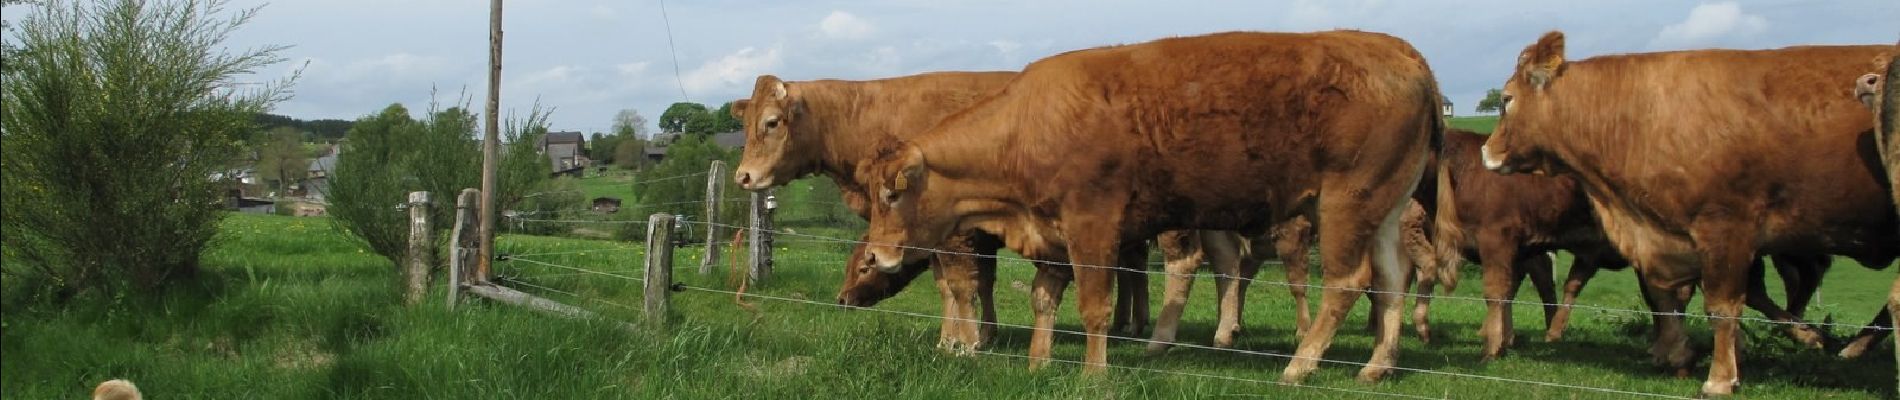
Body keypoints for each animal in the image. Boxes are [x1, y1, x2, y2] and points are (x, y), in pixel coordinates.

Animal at [855, 31, 1428, 381]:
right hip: (1384, 211)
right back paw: (1378, 366)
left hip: (1344, 207)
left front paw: (1093, 373)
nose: (877, 256)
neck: (1030, 125)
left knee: (1348, 282)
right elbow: (1044, 299)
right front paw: (1039, 364)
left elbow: (1095, 306)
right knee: (1392, 280)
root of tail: (1396, 50)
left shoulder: (1092, 226)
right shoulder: (1053, 235)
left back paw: (1300, 365)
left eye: (892, 193)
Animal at [1482, 31, 1900, 396]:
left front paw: (1719, 378)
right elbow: (1671, 297)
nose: (1488, 152)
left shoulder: (1725, 227)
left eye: (1507, 99)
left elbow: (1721, 307)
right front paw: (1681, 354)